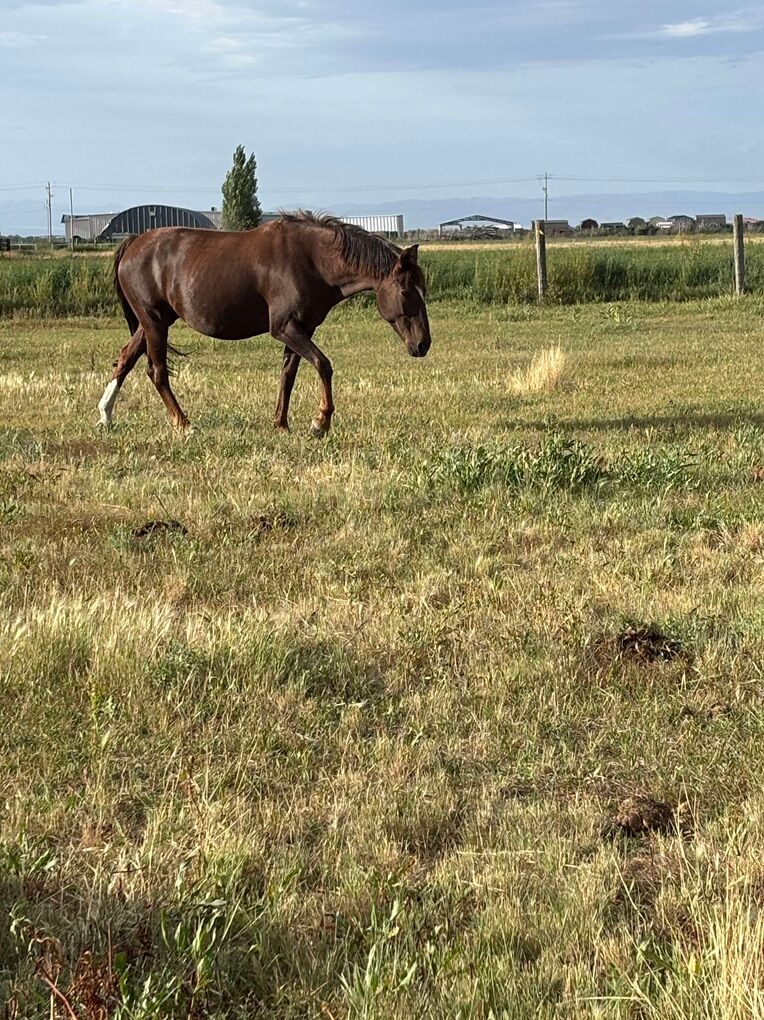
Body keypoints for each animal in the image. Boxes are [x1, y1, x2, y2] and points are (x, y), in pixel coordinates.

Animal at [98, 212, 431, 437]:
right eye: (406, 291)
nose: (423, 344)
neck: (310, 260)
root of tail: (134, 243)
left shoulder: (302, 328)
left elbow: (289, 375)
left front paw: (281, 423)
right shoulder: (284, 327)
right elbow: (323, 364)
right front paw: (321, 421)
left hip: (153, 322)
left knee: (126, 359)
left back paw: (105, 415)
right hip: (154, 321)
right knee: (157, 372)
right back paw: (184, 424)